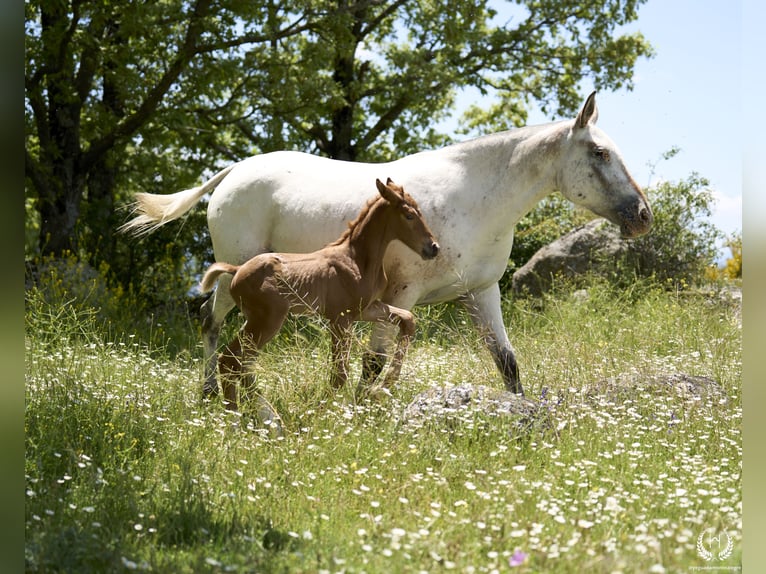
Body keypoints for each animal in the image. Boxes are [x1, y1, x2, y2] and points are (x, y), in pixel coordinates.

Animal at [121, 93, 656, 400]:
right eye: (600, 153)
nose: (642, 216)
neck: (474, 198)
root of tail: (235, 171)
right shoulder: (400, 297)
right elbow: (375, 362)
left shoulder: (481, 293)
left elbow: (506, 360)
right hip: (234, 276)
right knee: (211, 325)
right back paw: (209, 395)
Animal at [201, 178, 440, 426]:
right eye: (409, 215)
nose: (433, 248)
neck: (357, 260)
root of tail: (236, 270)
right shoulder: (340, 319)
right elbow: (339, 374)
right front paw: (318, 416)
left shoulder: (366, 309)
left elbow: (408, 320)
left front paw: (383, 387)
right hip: (266, 321)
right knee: (231, 361)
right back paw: (238, 421)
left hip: (256, 321)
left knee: (238, 362)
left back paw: (250, 418)